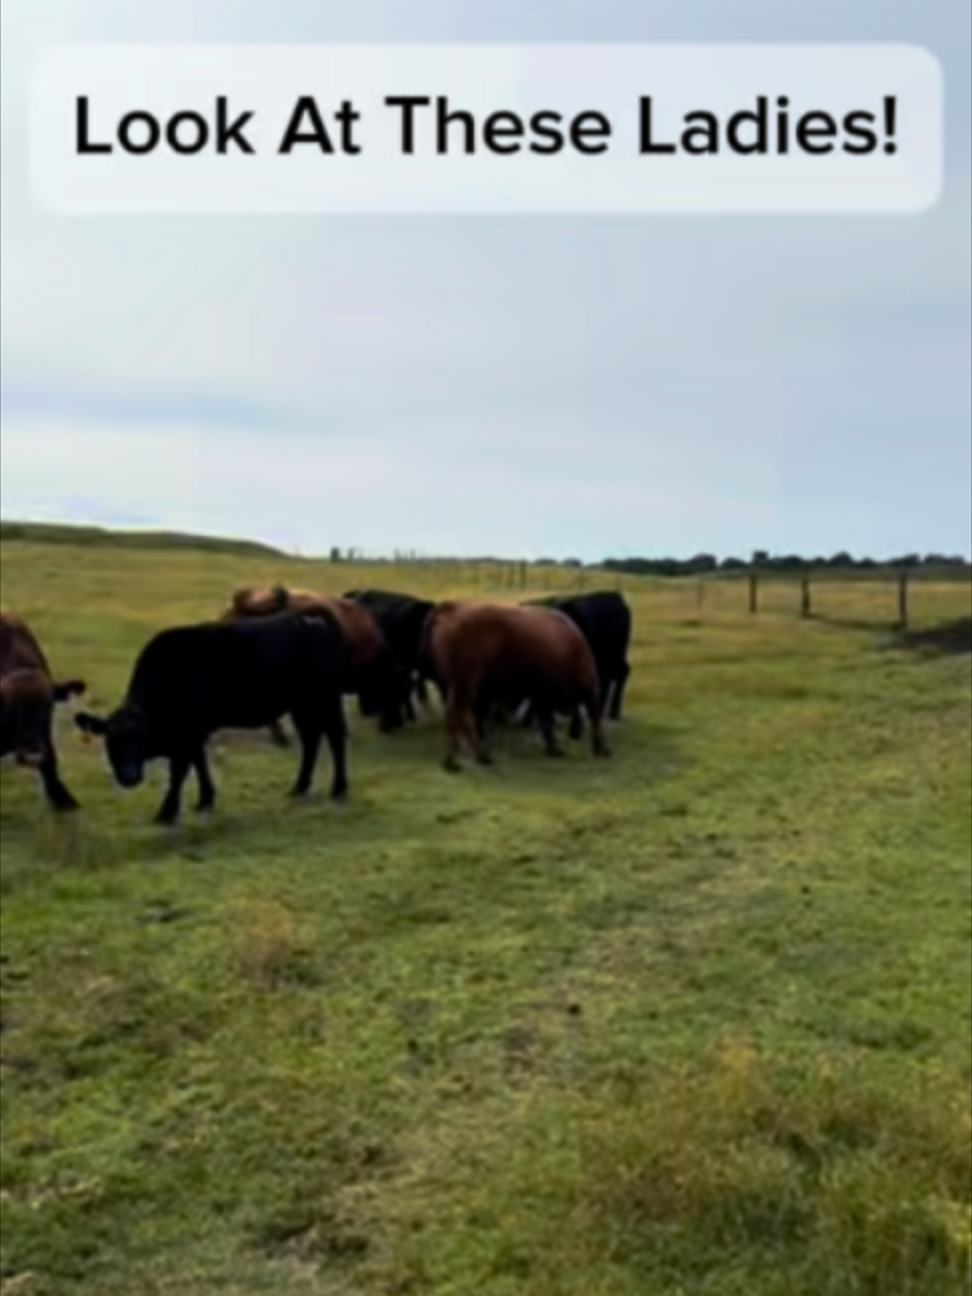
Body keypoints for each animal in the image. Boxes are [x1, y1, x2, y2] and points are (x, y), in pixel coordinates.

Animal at [0, 612, 86, 812]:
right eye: (9, 707)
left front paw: (64, 800)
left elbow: (51, 763)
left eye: (48, 707)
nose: (32, 755)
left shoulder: (45, 737)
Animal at [74, 612, 348, 826]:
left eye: (142, 739)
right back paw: (300, 786)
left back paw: (339, 789)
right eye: (112, 740)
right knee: (311, 739)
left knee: (335, 736)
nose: (129, 776)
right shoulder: (193, 732)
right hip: (302, 705)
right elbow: (200, 762)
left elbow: (179, 772)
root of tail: (312, 620)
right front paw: (205, 799)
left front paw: (167, 812)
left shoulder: (187, 732)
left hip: (325, 699)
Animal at [419, 600, 610, 772]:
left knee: (463, 716)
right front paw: (601, 750)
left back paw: (478, 757)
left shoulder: (541, 694)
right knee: (458, 714)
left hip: (457, 685)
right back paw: (456, 761)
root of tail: (453, 607)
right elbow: (595, 718)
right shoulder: (589, 687)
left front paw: (554, 749)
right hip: (464, 684)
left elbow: (546, 722)